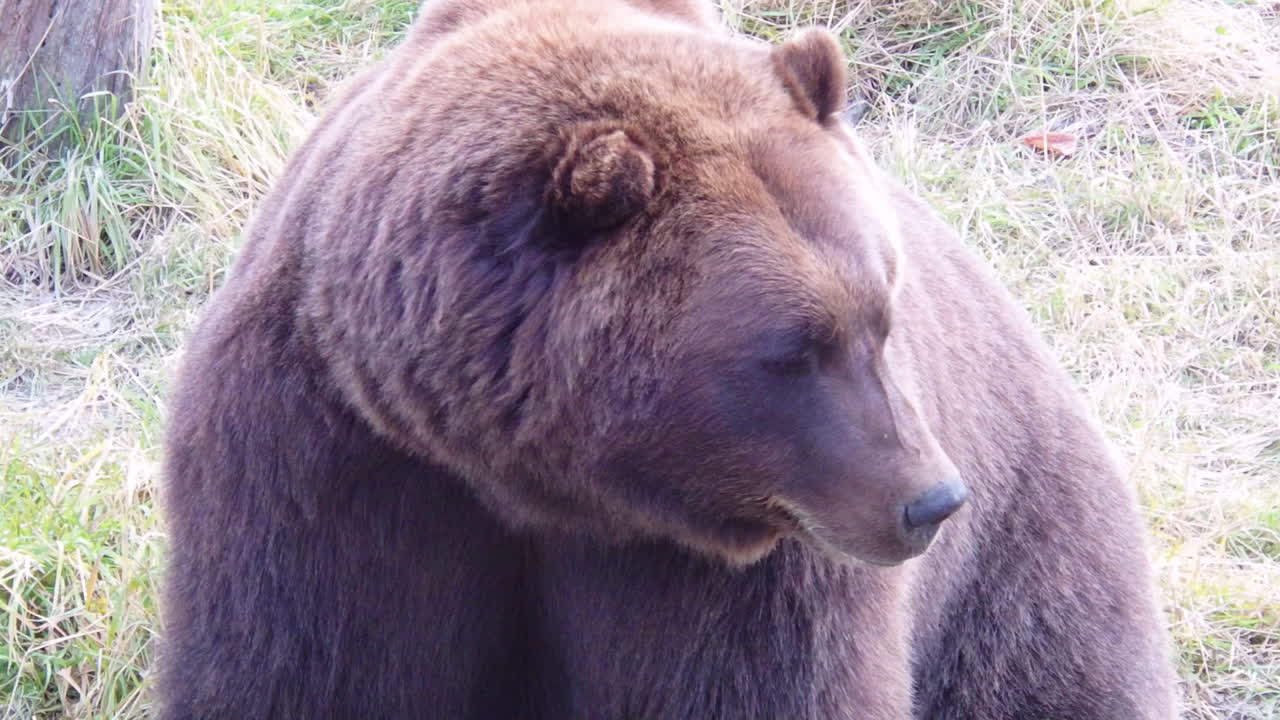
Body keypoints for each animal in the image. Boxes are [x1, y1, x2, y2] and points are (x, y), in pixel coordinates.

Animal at [157, 0, 1179, 718]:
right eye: (793, 350)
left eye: (883, 317)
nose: (930, 501)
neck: (535, 484)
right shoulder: (334, 460)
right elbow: (310, 662)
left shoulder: (745, 562)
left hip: (1026, 554)